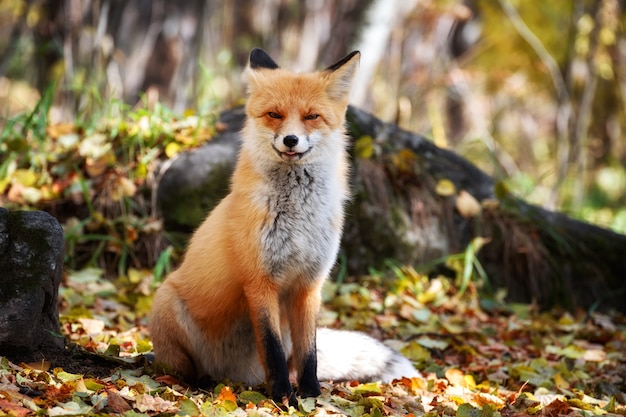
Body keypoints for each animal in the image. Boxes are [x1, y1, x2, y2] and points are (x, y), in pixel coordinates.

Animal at [149, 47, 416, 404]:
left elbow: (309, 354)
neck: (298, 219)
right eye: (274, 115)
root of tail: (229, 374)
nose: (291, 139)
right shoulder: (260, 282)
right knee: (180, 369)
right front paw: (281, 397)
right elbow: (272, 349)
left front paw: (311, 395)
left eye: (311, 117)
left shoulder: (309, 285)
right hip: (167, 303)